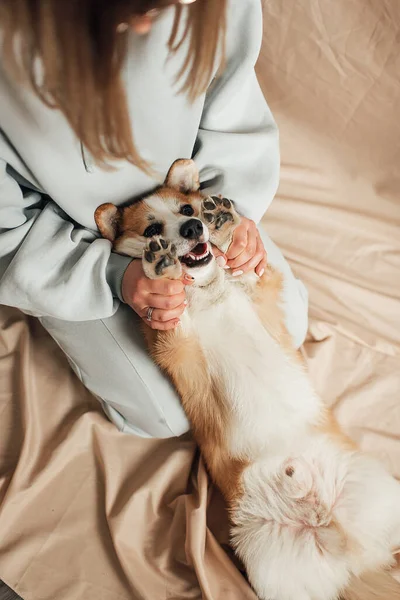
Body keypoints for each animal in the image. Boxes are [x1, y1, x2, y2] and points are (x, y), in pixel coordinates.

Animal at [95, 159, 400, 600]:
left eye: (187, 210)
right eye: (152, 230)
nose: (194, 228)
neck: (208, 291)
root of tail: (353, 556)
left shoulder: (260, 291)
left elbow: (247, 271)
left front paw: (224, 222)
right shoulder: (179, 350)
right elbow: (172, 308)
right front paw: (160, 267)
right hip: (272, 565)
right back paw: (300, 486)